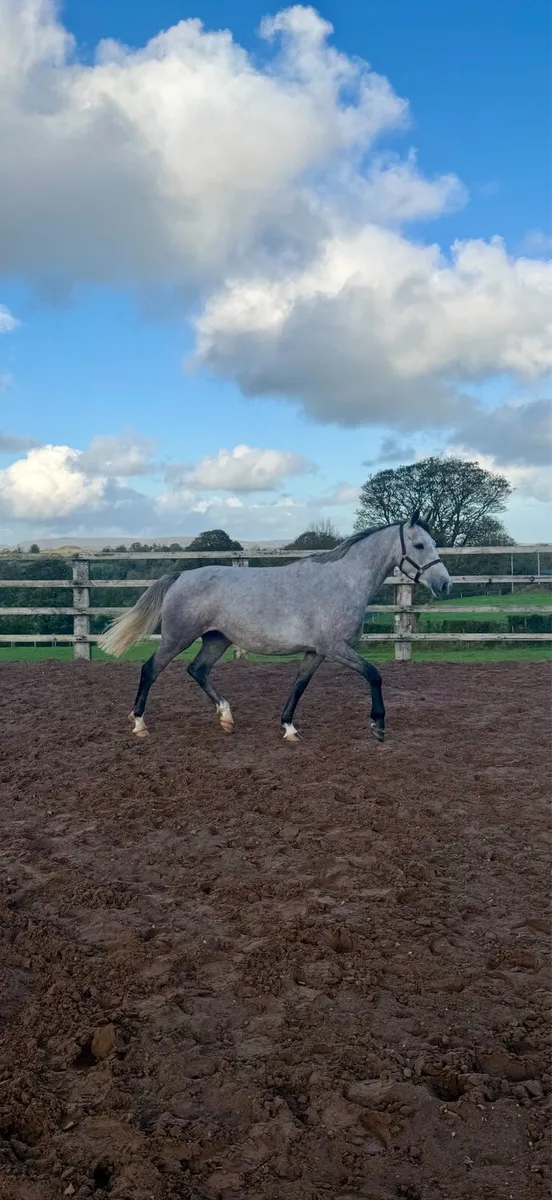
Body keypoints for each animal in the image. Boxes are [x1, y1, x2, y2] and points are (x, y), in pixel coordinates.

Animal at [98, 513, 452, 743]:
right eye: (420, 545)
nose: (445, 585)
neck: (343, 581)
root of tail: (181, 576)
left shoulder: (316, 652)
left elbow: (299, 685)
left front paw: (289, 728)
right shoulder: (336, 648)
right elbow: (374, 675)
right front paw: (378, 726)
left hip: (217, 639)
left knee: (197, 670)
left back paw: (226, 718)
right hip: (177, 637)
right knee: (150, 670)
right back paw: (140, 724)